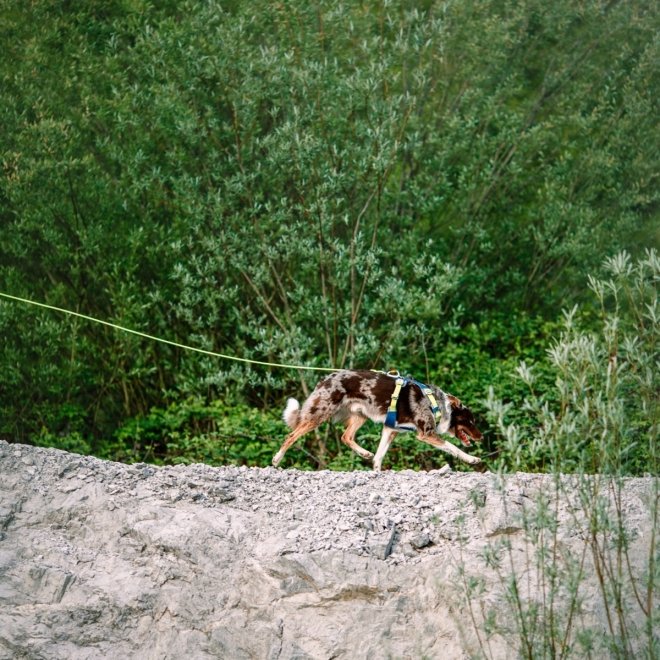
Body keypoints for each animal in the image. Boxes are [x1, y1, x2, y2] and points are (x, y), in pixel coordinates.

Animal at [270, 368, 482, 472]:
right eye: (471, 421)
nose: (481, 437)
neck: (436, 404)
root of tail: (325, 379)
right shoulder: (426, 434)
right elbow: (453, 448)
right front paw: (472, 459)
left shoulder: (391, 430)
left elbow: (379, 456)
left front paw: (377, 471)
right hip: (319, 415)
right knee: (291, 435)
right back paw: (277, 459)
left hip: (360, 416)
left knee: (346, 437)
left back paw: (364, 453)